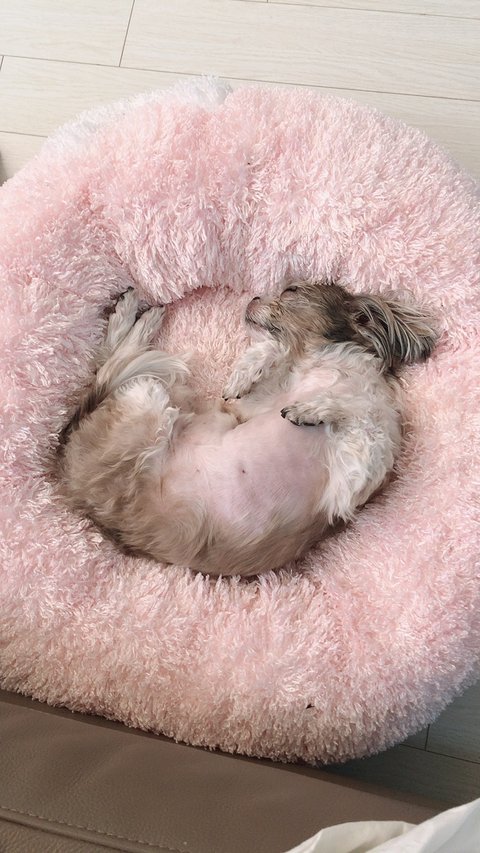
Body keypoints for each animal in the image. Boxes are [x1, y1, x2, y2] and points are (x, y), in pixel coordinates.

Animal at [58, 281, 436, 577]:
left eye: (291, 291)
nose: (253, 298)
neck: (327, 372)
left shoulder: (353, 482)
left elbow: (364, 413)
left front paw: (310, 409)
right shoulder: (244, 409)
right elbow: (271, 353)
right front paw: (248, 370)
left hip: (147, 398)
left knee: (109, 369)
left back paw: (137, 318)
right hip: (150, 398)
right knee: (107, 366)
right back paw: (133, 315)